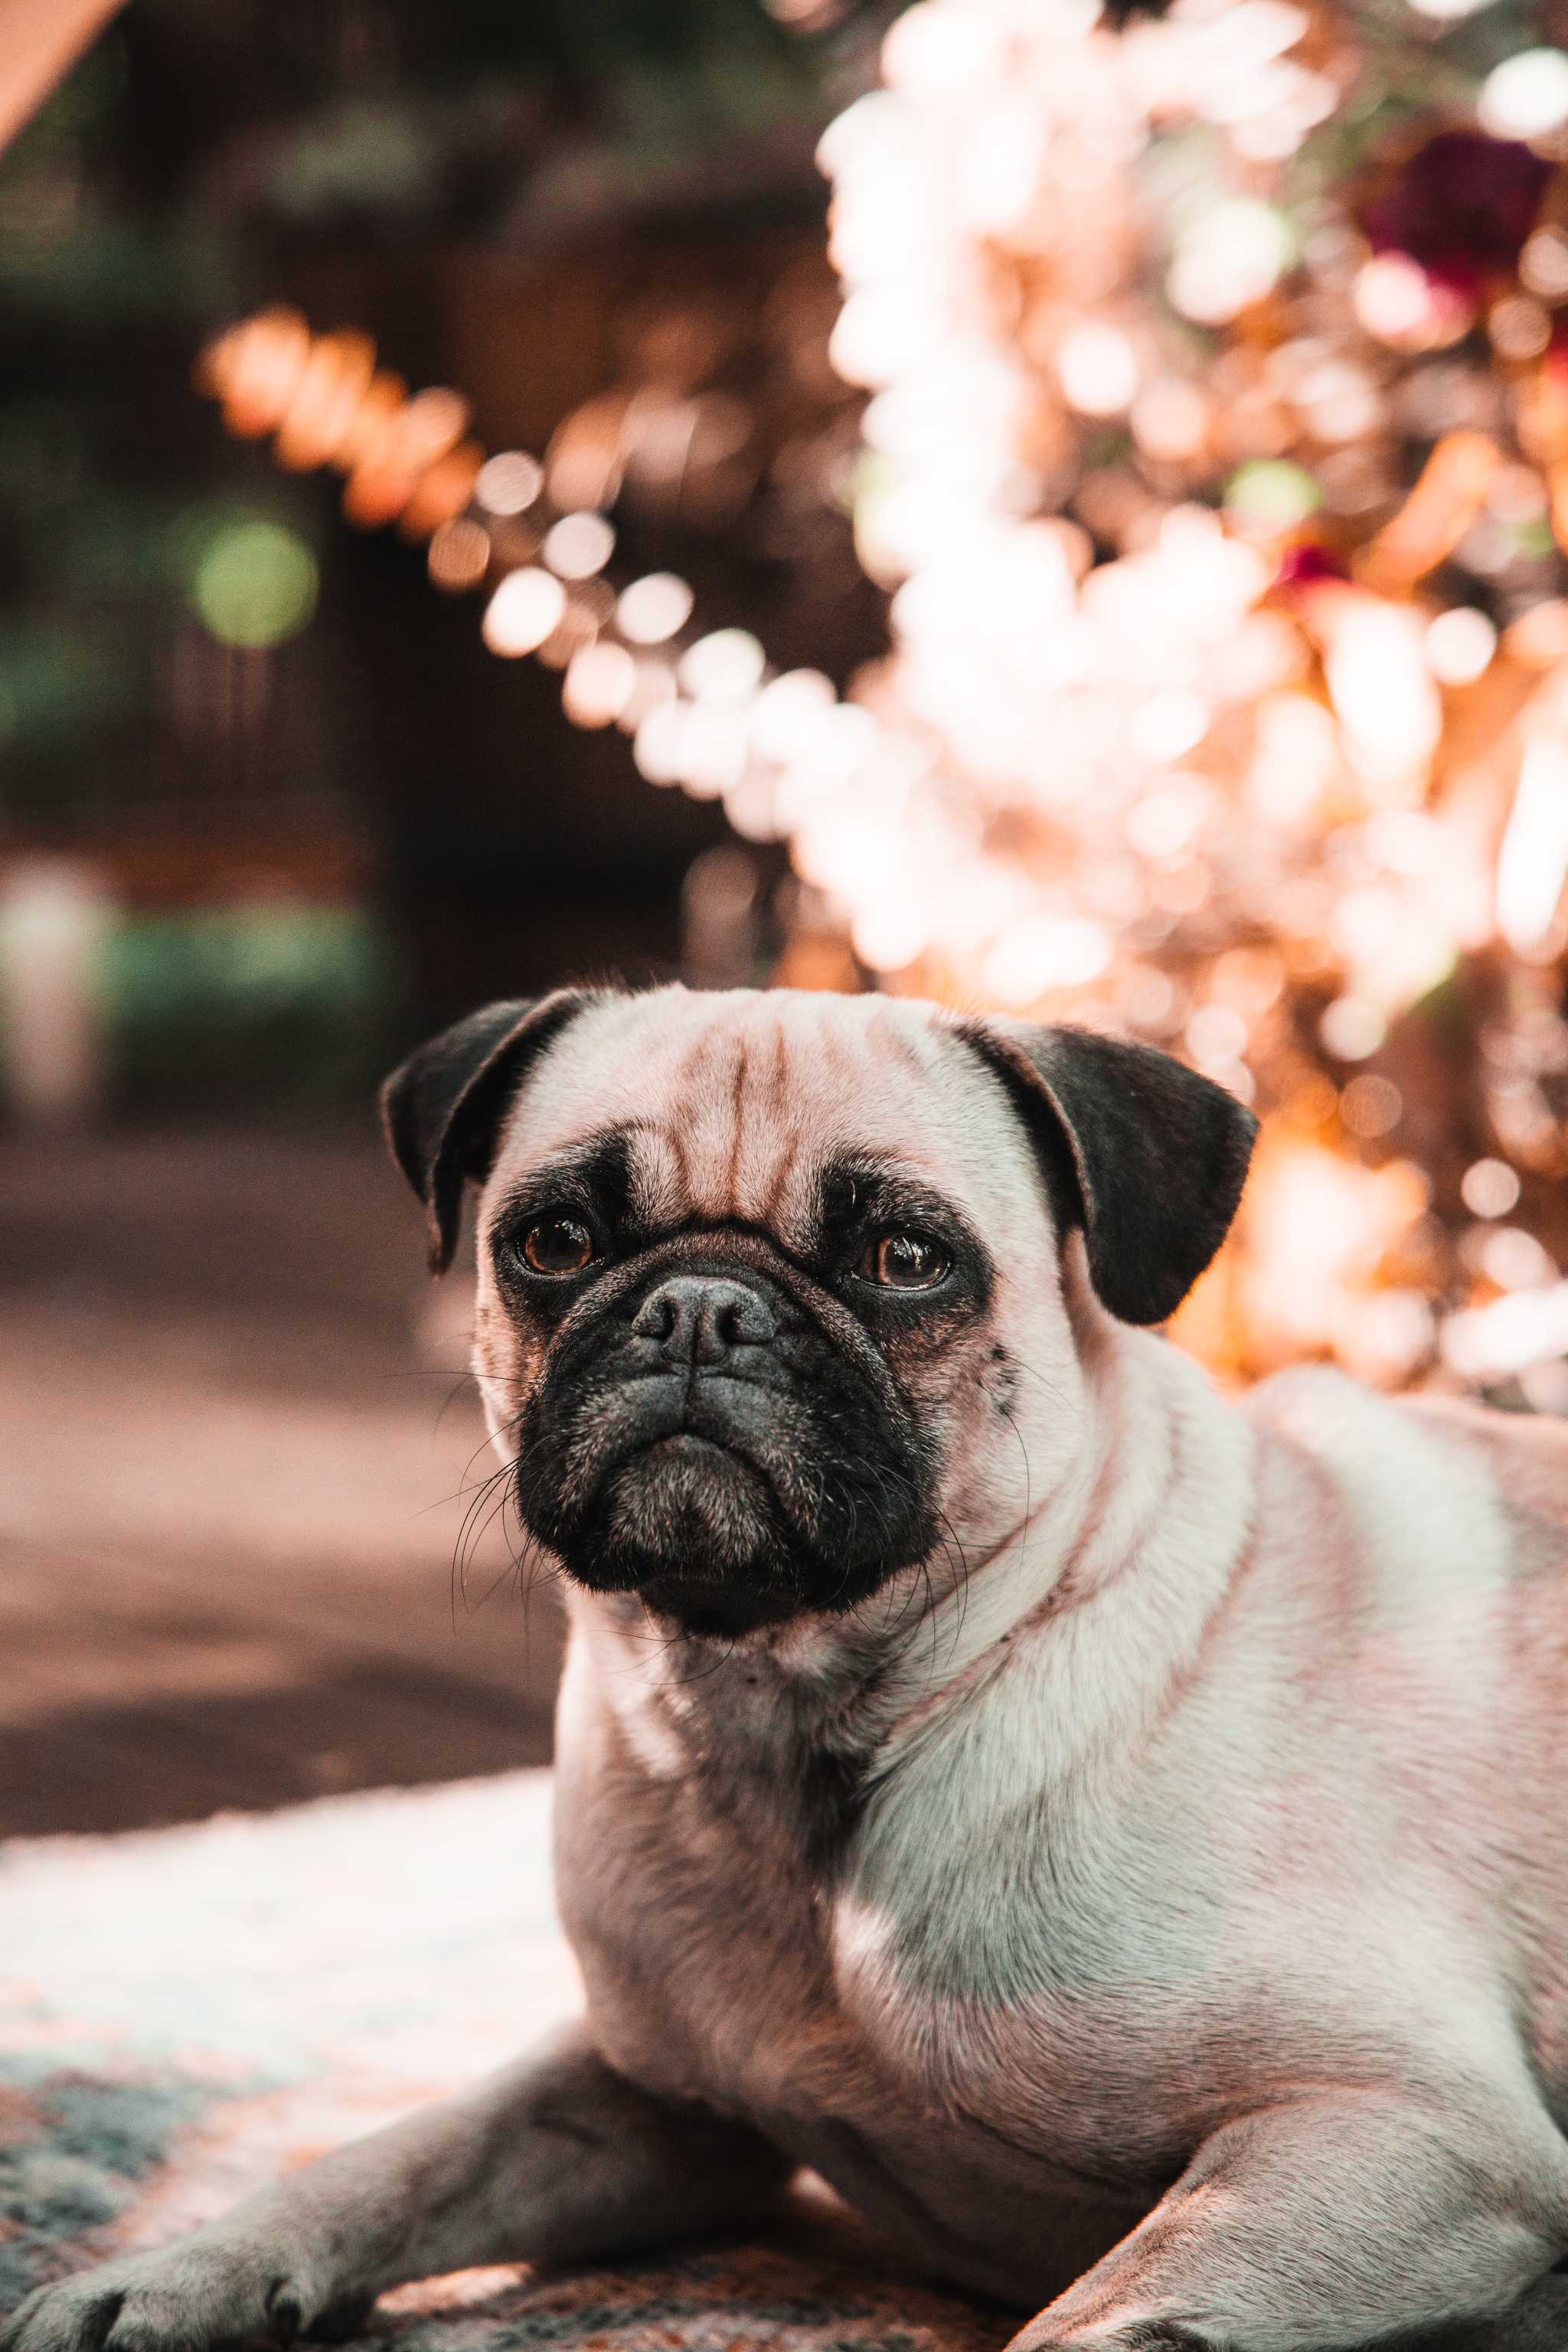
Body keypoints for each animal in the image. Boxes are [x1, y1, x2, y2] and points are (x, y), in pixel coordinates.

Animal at [8, 988, 1568, 2352]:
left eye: (906, 1260)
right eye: (555, 1240)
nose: (700, 1307)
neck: (797, 1727)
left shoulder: (1403, 2126)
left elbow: (1102, 2317)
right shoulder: (646, 2102)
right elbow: (395, 2154)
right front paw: (175, 2271)